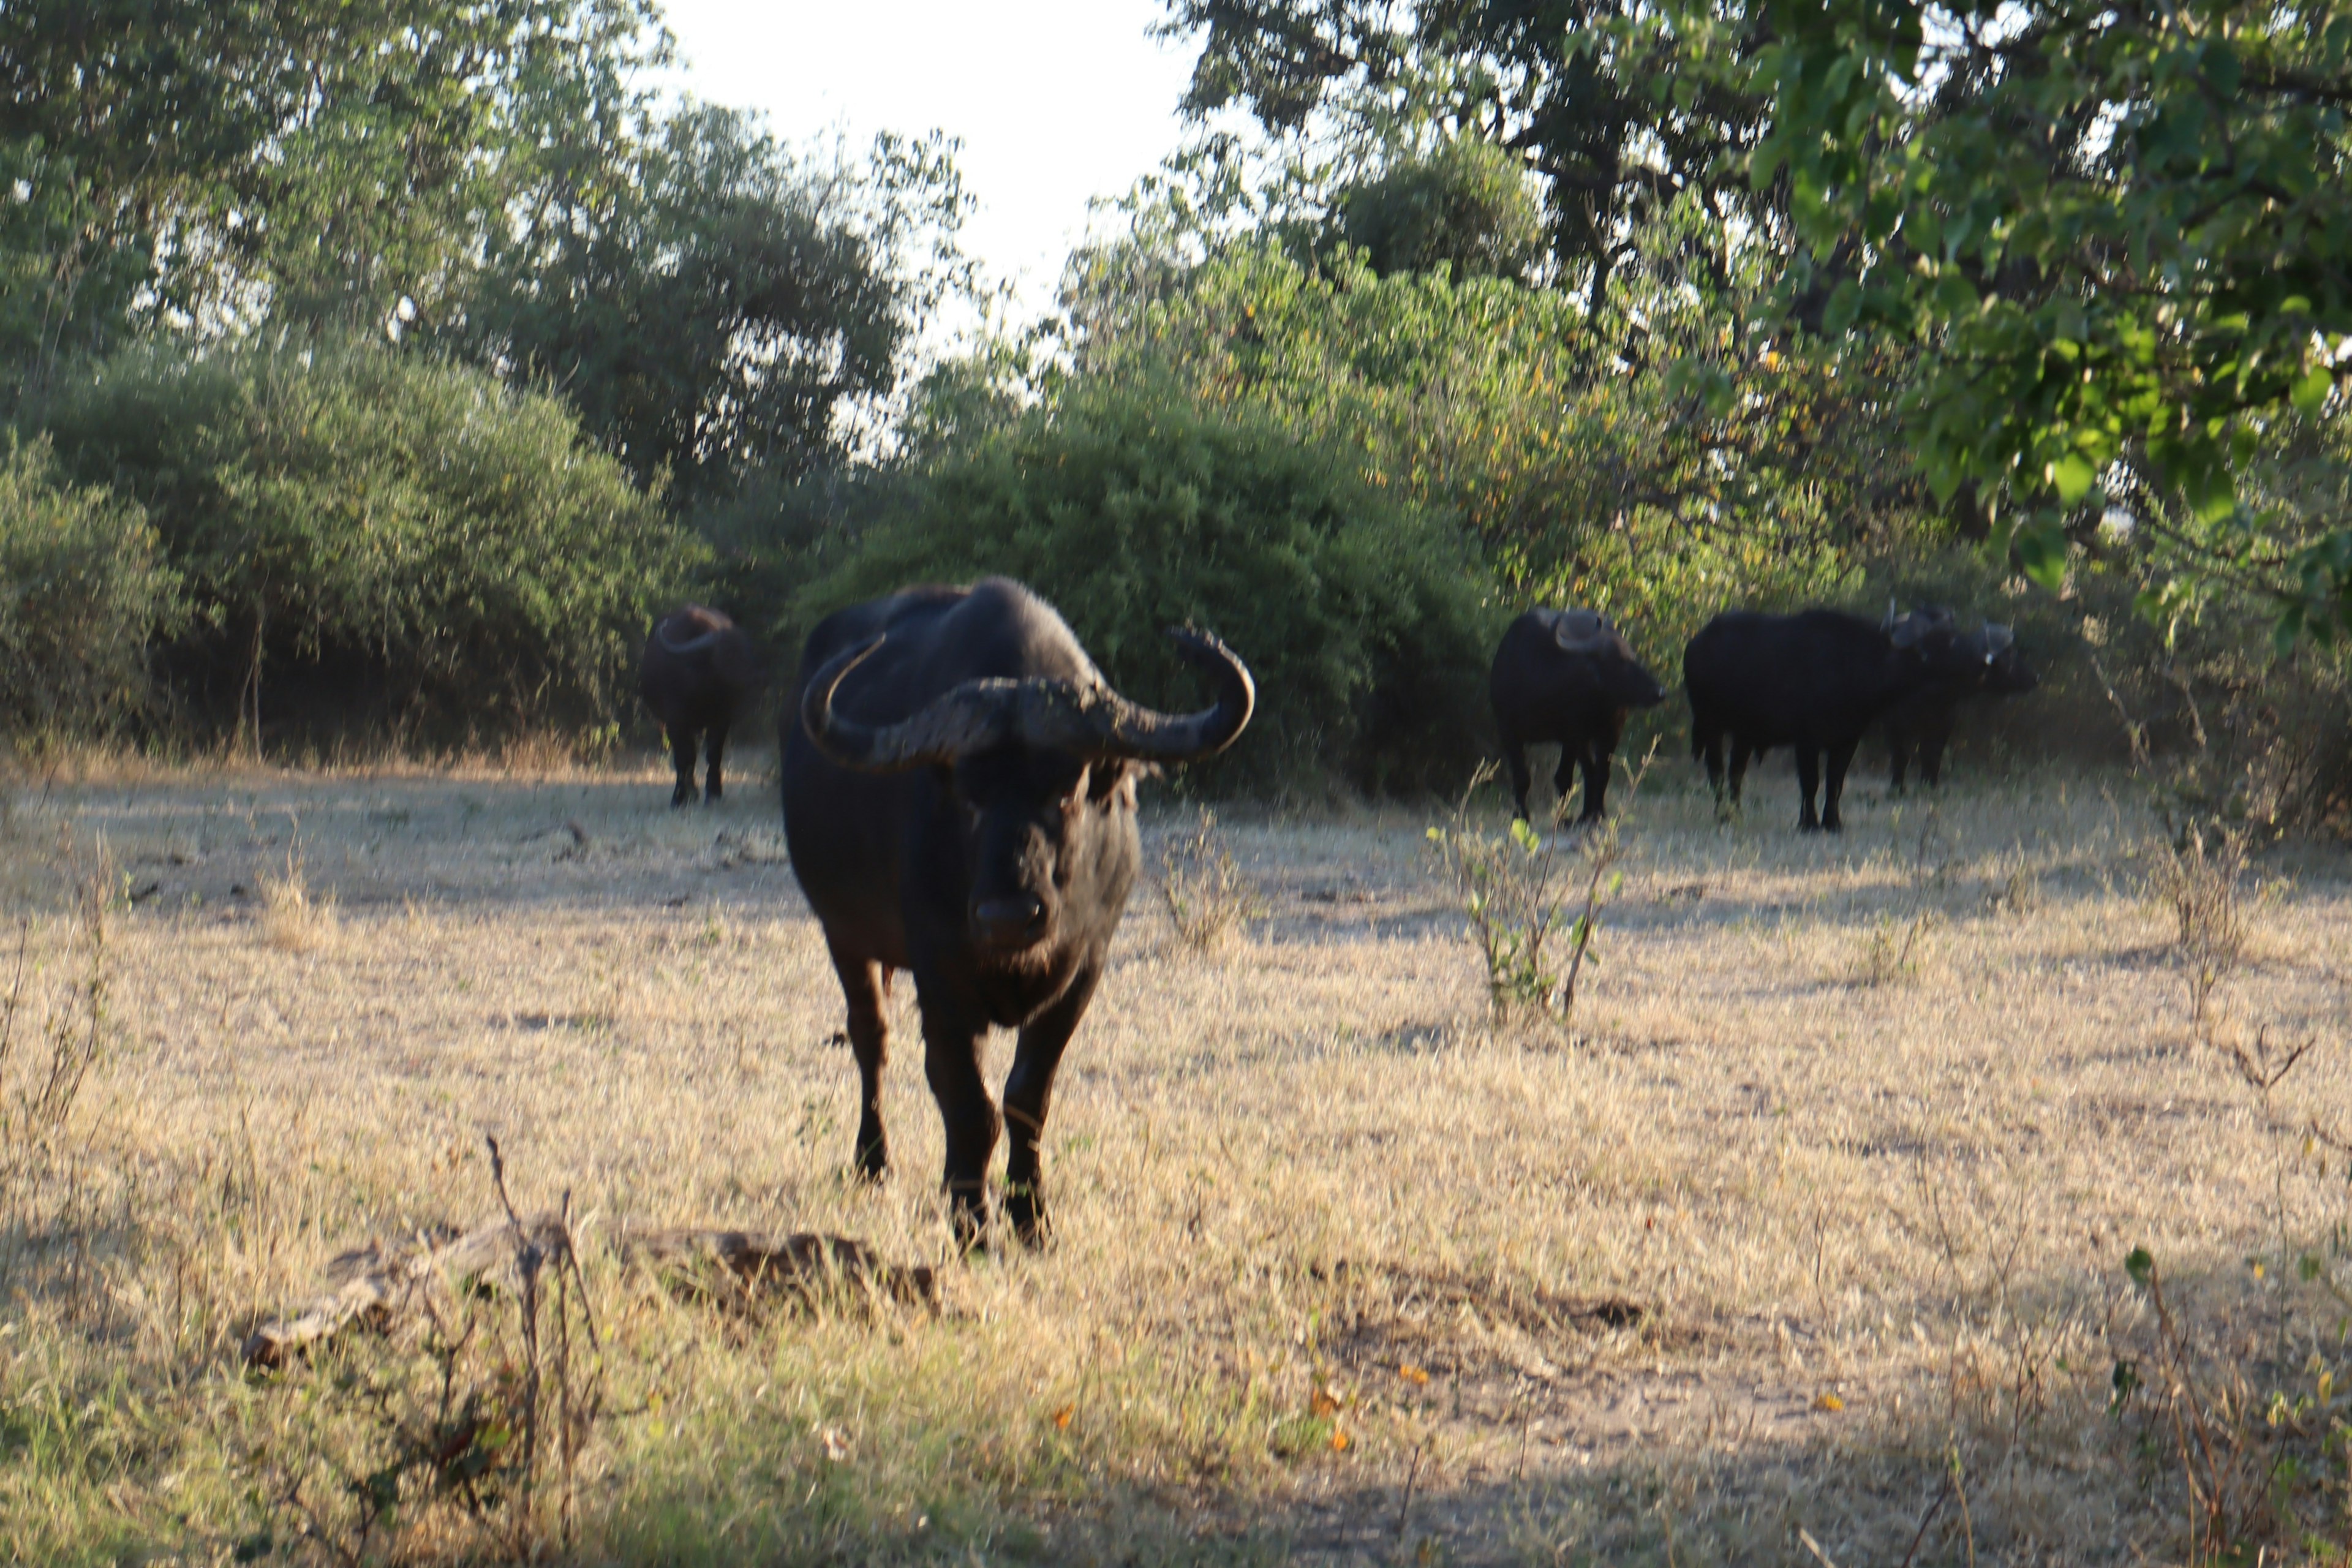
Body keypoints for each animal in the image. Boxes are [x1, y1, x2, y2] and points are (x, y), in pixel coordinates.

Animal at [635, 606, 752, 809]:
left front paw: (713, 793)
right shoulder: (675, 722)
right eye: (726, 654)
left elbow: (713, 754)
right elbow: (685, 757)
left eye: (744, 651)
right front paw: (682, 797)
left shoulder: (721, 720)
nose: (751, 679)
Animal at [780, 576, 1261, 1250]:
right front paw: (973, 1224)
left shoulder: (1084, 969)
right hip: (844, 936)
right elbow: (968, 1103)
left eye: (1066, 791)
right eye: (967, 795)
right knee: (871, 1038)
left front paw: (1032, 1217)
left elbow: (1027, 1097)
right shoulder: (942, 977)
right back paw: (874, 1161)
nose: (1010, 916)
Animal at [1486, 611, 1675, 827]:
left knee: (1599, 772)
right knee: (1591, 771)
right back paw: (1587, 814)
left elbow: (1566, 778)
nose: (1659, 692)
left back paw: (1594, 813)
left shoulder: (1575, 735)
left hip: (1606, 732)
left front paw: (1566, 818)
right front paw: (1521, 816)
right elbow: (1522, 777)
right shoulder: (1509, 732)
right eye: (1618, 660)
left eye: (1633, 657)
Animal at [1684, 611, 1994, 832]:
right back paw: (1722, 815)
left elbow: (1835, 782)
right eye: (1948, 641)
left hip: (1744, 733)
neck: (1849, 666)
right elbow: (1811, 783)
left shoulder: (1847, 740)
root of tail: (1696, 643)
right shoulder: (1806, 742)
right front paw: (1809, 823)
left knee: (1736, 772)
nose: (1984, 660)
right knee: (1716, 771)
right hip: (1710, 725)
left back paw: (1736, 813)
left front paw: (1833, 822)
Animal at [1872, 606, 2041, 790]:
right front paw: (1897, 787)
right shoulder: (1892, 724)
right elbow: (1900, 757)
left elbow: (1932, 756)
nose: (2035, 678)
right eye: (2009, 654)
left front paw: (1930, 784)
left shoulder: (1945, 722)